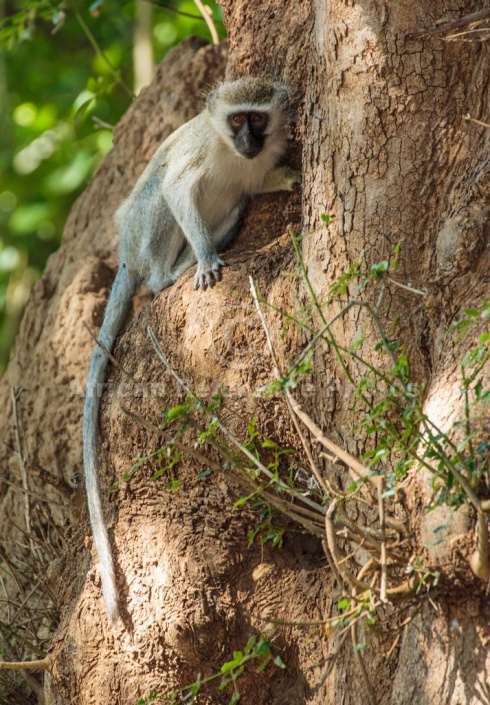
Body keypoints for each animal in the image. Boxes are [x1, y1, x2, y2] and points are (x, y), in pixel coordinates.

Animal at [83, 74, 298, 620]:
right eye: (236, 120)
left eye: (257, 119)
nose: (246, 140)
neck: (231, 151)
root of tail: (124, 254)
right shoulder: (200, 153)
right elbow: (179, 187)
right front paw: (204, 258)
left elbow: (253, 186)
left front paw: (285, 180)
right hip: (142, 228)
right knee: (164, 194)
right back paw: (173, 271)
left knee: (237, 200)